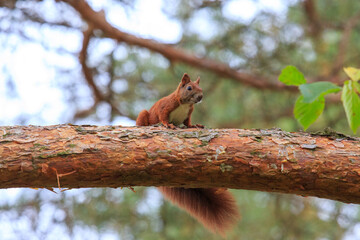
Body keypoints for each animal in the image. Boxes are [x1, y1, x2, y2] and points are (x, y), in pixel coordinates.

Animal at [135, 73, 239, 236]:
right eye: (189, 88)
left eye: (201, 88)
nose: (200, 97)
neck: (184, 104)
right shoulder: (165, 107)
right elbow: (163, 116)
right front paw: (168, 125)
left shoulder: (188, 114)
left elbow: (188, 122)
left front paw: (195, 125)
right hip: (144, 115)